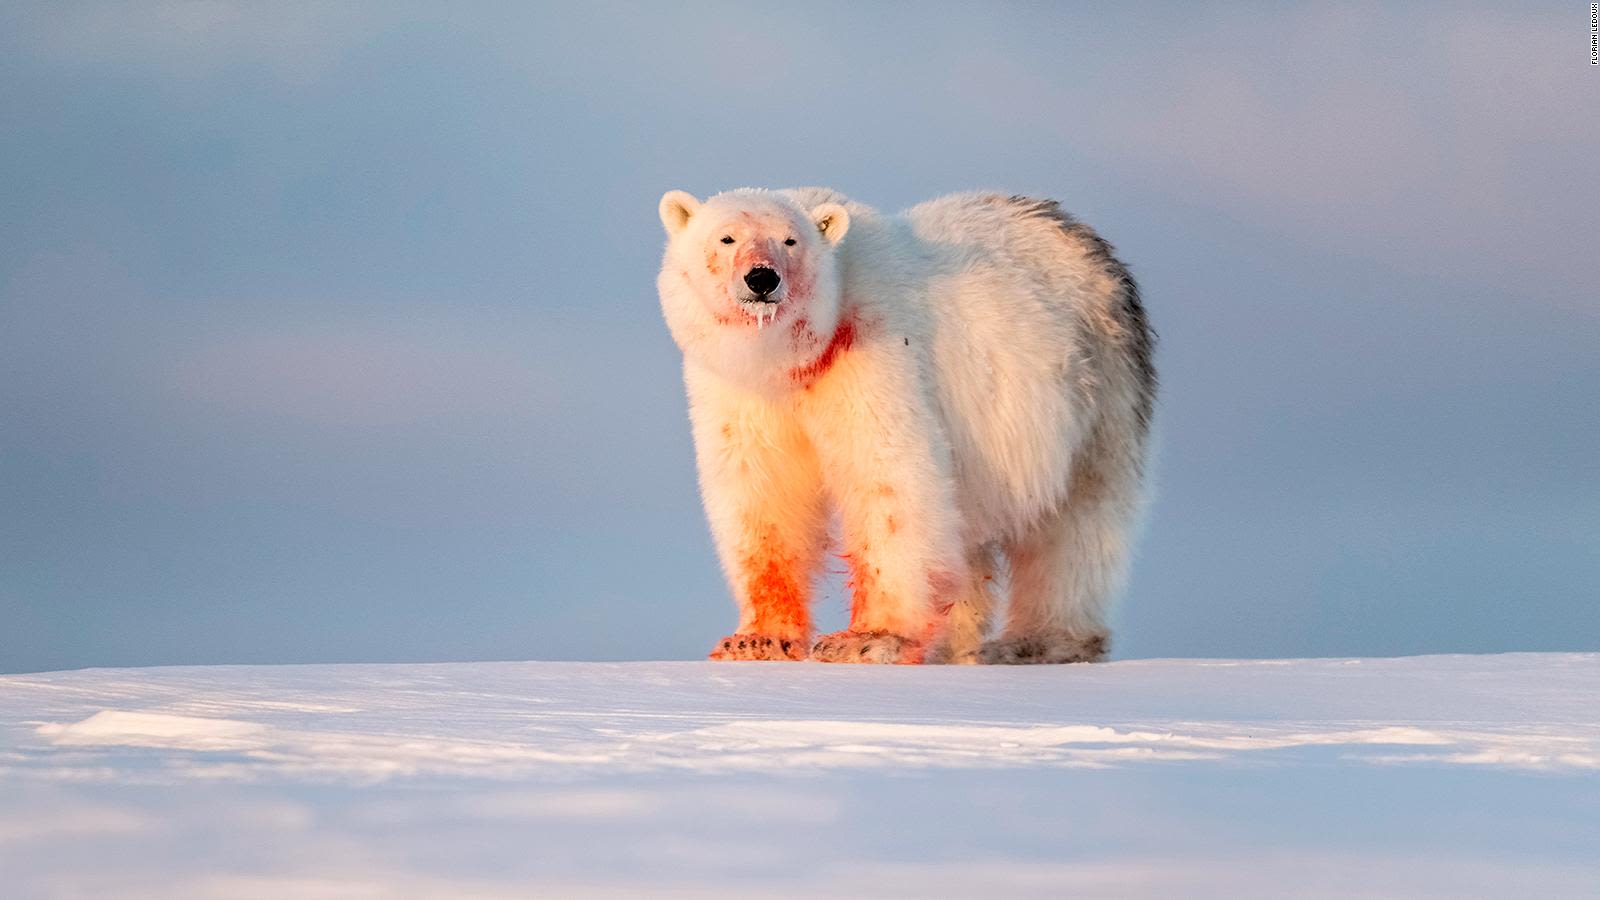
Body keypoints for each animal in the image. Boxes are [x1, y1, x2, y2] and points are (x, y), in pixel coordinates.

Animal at [656, 185, 1158, 659]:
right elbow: (762, 489)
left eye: (790, 240)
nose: (762, 277)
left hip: (1096, 388)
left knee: (1077, 522)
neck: (794, 359)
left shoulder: (872, 350)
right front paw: (755, 641)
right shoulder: (740, 391)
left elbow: (889, 480)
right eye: (727, 237)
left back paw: (1039, 640)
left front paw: (866, 639)